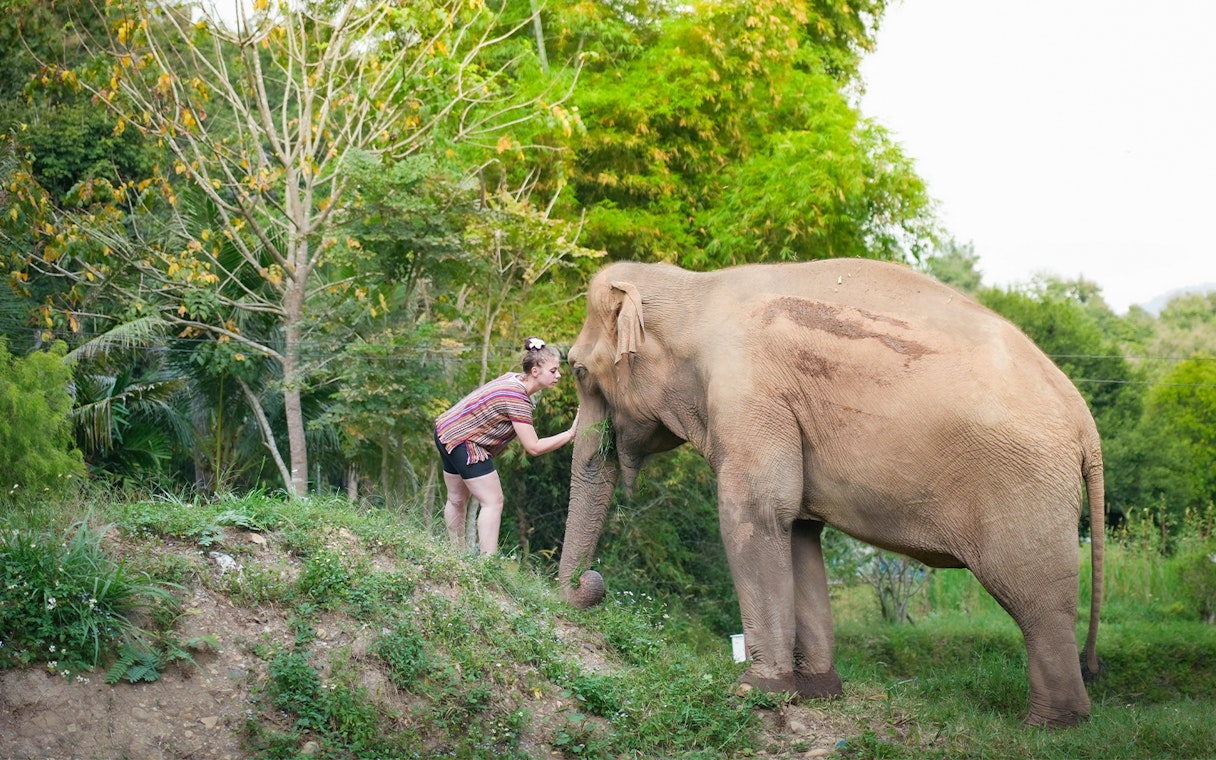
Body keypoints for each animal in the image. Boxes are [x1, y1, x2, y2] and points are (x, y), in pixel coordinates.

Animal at [557, 258, 1105, 728]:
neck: (690, 289)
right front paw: (819, 691)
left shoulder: (748, 395)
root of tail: (1087, 426)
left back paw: (1048, 727)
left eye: (579, 371)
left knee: (1038, 602)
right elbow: (797, 527)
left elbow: (755, 513)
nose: (589, 583)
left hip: (1024, 489)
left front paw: (753, 692)